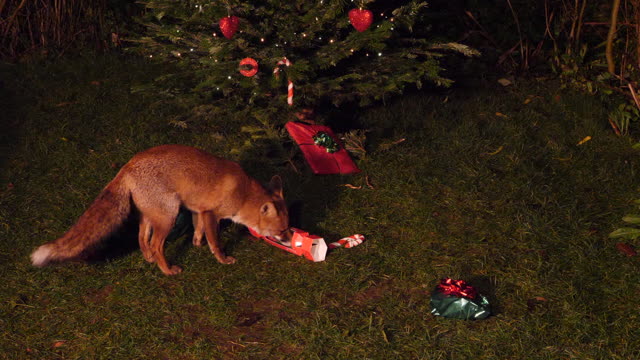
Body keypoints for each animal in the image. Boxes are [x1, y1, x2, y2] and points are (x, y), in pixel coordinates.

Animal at [30, 143, 290, 276]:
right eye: (283, 230)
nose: (289, 239)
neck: (243, 193)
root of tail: (128, 165)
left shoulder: (197, 210)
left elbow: (198, 230)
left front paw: (196, 244)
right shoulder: (210, 213)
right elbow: (215, 241)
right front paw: (223, 259)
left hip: (152, 215)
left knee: (141, 237)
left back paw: (149, 259)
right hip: (169, 215)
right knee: (156, 244)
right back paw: (167, 270)